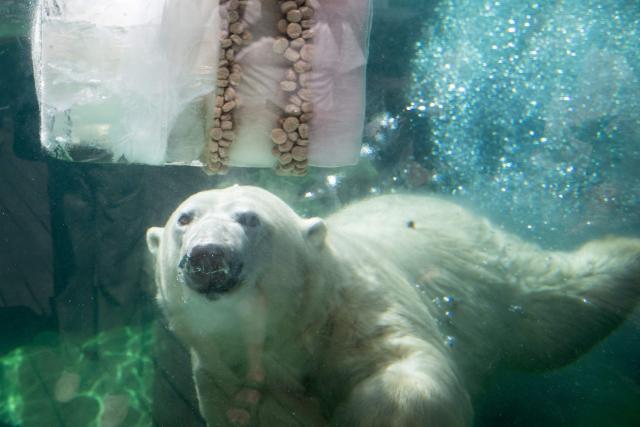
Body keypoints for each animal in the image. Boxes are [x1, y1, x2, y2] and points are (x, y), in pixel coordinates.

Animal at [146, 185, 640, 426]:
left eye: (249, 219)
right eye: (185, 218)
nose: (208, 255)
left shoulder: (358, 310)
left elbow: (404, 368)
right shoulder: (228, 376)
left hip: (490, 270)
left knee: (554, 303)